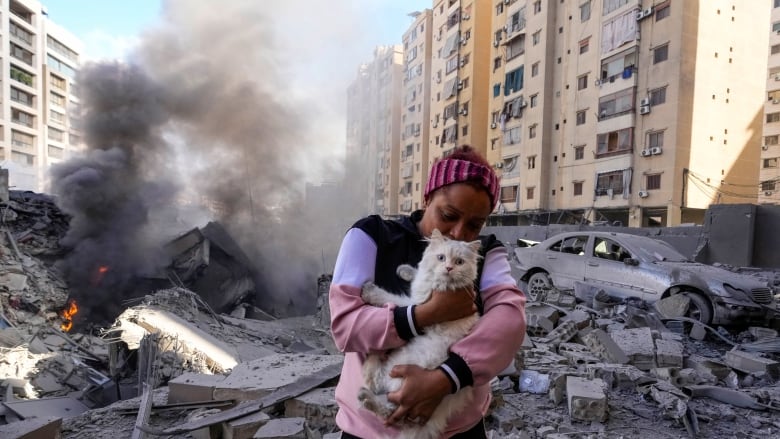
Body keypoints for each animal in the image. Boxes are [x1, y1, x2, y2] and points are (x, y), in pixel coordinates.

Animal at [360, 230, 482, 439]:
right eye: (441, 258)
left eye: (459, 262)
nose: (448, 268)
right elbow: (417, 272)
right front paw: (405, 270)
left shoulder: (415, 304)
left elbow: (393, 300)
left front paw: (370, 292)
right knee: (376, 384)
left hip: (402, 378)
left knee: (386, 404)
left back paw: (367, 392)